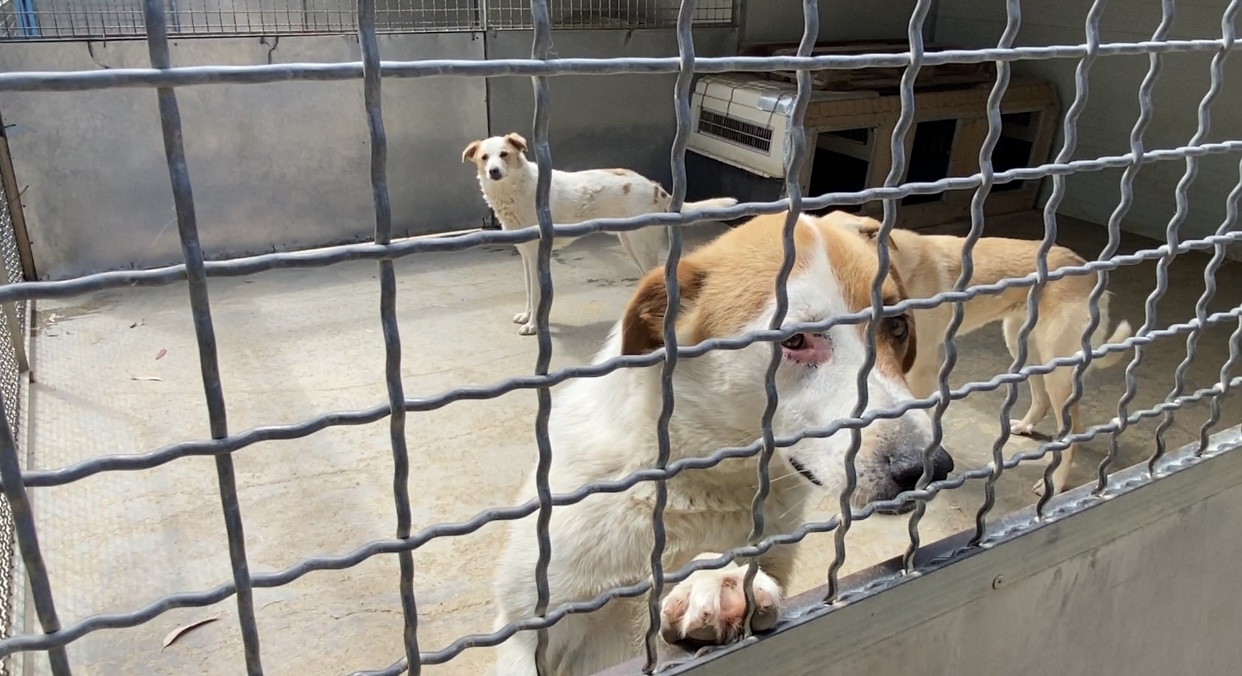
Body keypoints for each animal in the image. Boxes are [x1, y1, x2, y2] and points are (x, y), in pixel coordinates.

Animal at [463, 133, 739, 335]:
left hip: (640, 245)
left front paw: (533, 326)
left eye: (504, 155)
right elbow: (531, 293)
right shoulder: (526, 255)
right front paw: (527, 317)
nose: (494, 171)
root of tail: (657, 189)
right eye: (485, 157)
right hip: (629, 241)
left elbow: (539, 294)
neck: (517, 189)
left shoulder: (538, 256)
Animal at [490, 211, 955, 676]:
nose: (930, 466)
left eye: (897, 325)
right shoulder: (527, 631)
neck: (698, 480)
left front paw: (715, 578)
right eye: (795, 339)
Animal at [821, 211, 1133, 496]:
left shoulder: (920, 370)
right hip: (1022, 344)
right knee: (1040, 397)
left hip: (1059, 369)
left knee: (1072, 430)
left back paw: (1055, 483)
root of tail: (1086, 267)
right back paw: (1026, 426)